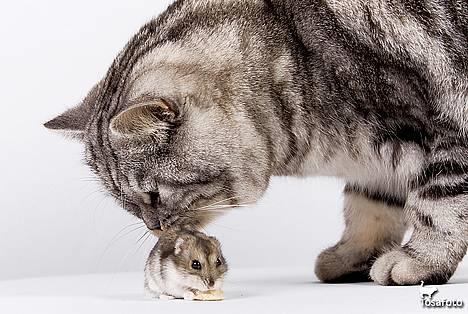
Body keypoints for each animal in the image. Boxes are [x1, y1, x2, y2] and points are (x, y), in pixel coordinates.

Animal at [43, 0, 464, 286]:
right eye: (128, 206)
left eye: (152, 196)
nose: (154, 228)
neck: (297, 53)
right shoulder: (375, 163)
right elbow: (369, 208)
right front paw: (353, 257)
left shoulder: (440, 129)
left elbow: (440, 205)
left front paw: (422, 261)